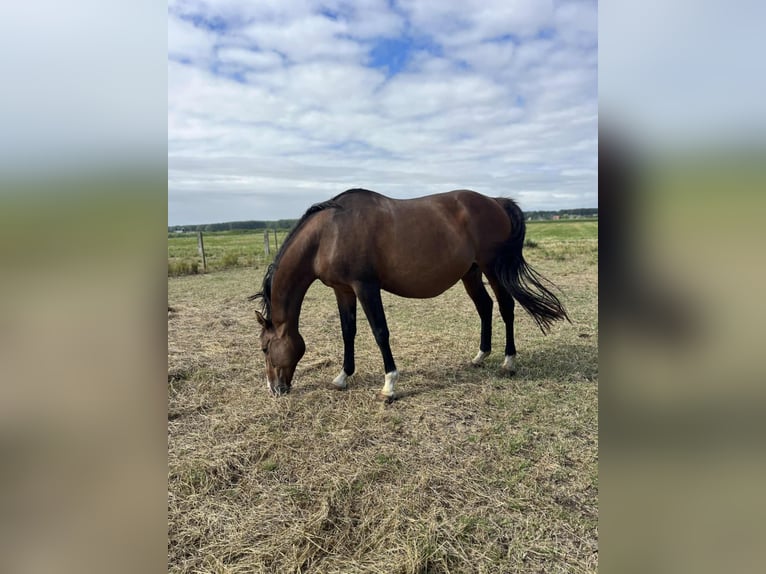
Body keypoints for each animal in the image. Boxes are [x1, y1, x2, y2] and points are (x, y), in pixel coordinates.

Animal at [250, 188, 569, 398]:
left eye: (265, 348)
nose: (274, 389)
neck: (329, 233)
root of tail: (496, 202)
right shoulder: (343, 291)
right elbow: (348, 332)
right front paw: (342, 377)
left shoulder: (366, 287)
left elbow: (380, 332)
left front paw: (389, 385)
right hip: (472, 272)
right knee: (485, 307)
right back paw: (480, 356)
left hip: (493, 268)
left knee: (505, 307)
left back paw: (508, 361)